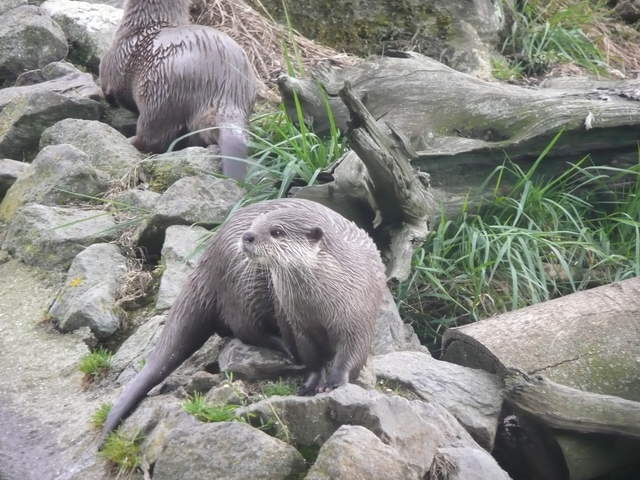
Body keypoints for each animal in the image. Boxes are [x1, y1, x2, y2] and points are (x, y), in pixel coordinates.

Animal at [99, 0, 257, 180]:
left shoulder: (111, 63)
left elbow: (112, 92)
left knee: (153, 137)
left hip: (160, 96)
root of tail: (228, 92)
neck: (140, 27)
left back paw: (131, 140)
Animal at [100, 198, 387, 442]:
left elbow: (354, 353)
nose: (247, 235)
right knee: (244, 327)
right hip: (245, 285)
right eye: (255, 226)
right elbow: (310, 356)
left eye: (277, 232)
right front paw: (311, 383)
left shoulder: (359, 316)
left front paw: (335, 382)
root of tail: (209, 258)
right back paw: (284, 351)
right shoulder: (298, 323)